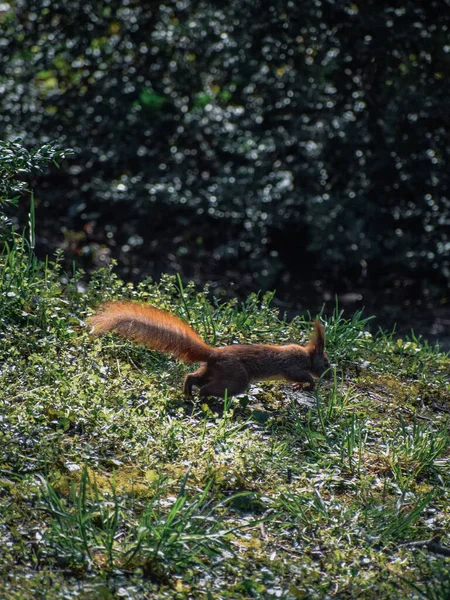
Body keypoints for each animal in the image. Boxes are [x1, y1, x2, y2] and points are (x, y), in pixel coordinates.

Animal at [89, 300, 330, 398]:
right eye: (326, 362)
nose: (331, 373)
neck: (307, 356)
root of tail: (214, 354)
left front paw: (302, 386)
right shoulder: (292, 366)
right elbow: (302, 375)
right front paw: (310, 384)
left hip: (215, 371)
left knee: (193, 377)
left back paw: (188, 391)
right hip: (236, 378)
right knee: (208, 388)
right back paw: (204, 397)